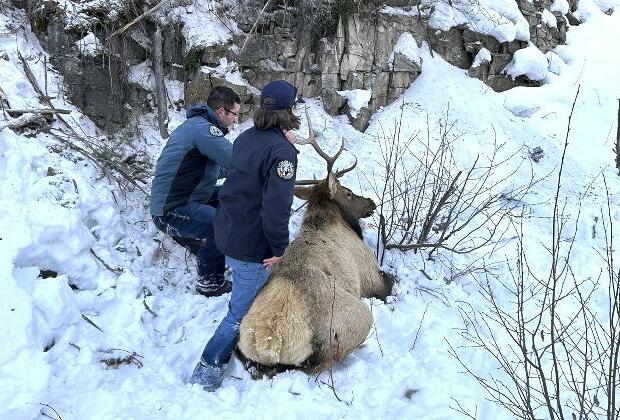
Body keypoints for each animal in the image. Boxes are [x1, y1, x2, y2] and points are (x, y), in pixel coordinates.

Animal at [237, 110, 392, 370]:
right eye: (348, 192)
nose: (371, 202)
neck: (332, 220)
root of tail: (270, 342)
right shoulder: (370, 273)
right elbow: (390, 282)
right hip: (357, 319)